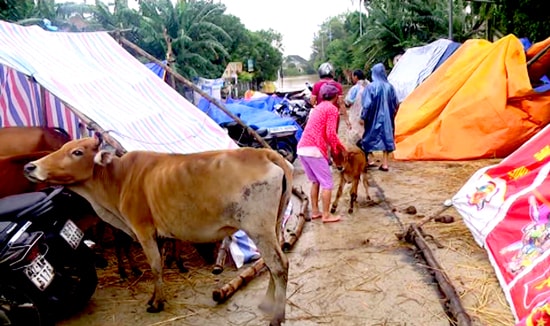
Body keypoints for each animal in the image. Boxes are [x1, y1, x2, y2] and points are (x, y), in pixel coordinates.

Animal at [22, 133, 294, 326]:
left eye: (77, 152)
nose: (30, 167)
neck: (118, 179)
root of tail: (263, 153)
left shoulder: (143, 230)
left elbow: (155, 266)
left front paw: (156, 302)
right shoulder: (159, 235)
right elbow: (162, 261)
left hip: (258, 228)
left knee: (279, 265)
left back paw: (276, 317)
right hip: (272, 226)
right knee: (272, 264)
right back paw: (268, 304)